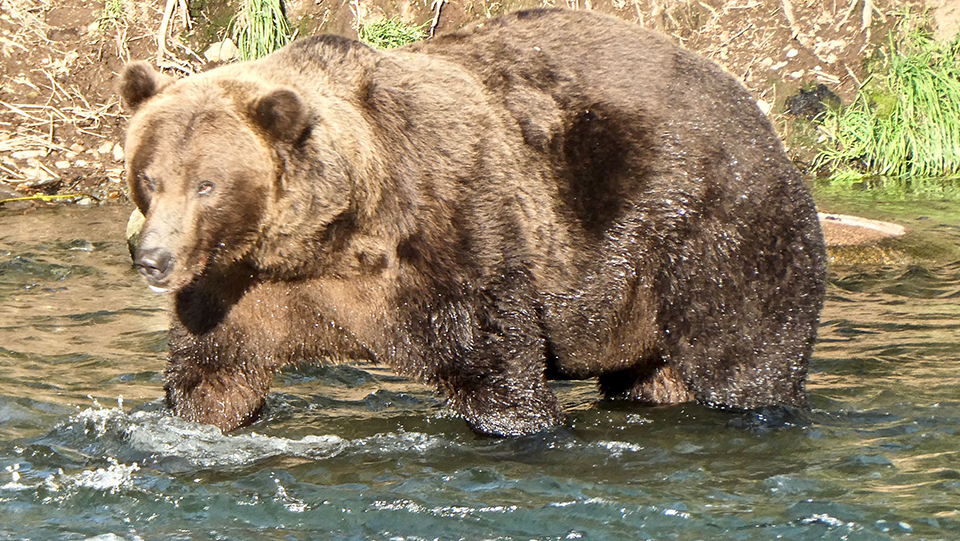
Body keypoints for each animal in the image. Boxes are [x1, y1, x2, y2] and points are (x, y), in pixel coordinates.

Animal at [119, 8, 826, 437]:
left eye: (207, 183)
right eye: (149, 176)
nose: (151, 258)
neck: (328, 241)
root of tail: (754, 110)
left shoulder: (450, 245)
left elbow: (497, 368)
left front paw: (523, 425)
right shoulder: (241, 288)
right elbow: (213, 377)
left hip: (714, 231)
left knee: (742, 354)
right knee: (650, 378)